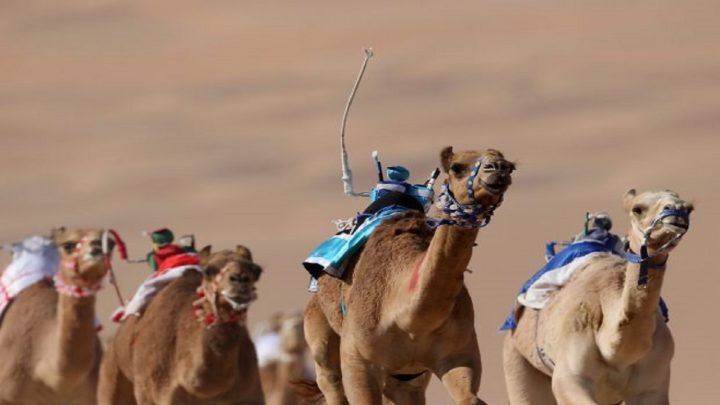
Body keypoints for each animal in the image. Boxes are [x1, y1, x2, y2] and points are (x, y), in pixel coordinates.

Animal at [98, 245, 265, 405]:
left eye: (256, 271)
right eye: (208, 271)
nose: (240, 279)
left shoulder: (250, 393)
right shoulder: (151, 394)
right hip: (112, 377)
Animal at [304, 146, 515, 405]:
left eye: (510, 166)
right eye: (457, 167)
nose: (498, 168)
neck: (409, 318)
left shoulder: (459, 355)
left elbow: (471, 398)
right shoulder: (358, 361)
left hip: (407, 378)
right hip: (320, 337)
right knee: (330, 378)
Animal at [502, 189, 694, 405]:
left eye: (689, 209)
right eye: (637, 209)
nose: (676, 213)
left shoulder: (652, 384)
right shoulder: (569, 377)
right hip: (515, 358)